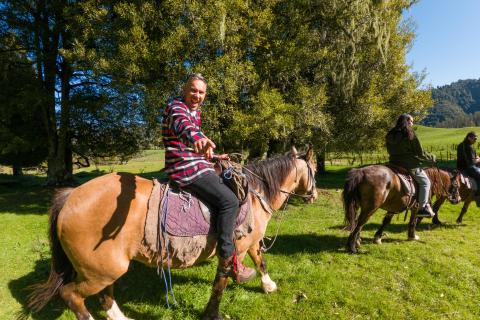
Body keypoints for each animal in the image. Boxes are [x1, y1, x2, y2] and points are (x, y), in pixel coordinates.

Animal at [28, 146, 316, 318]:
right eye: (313, 171)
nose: (313, 196)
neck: (254, 193)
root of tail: (70, 197)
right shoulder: (237, 245)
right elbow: (222, 279)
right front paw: (213, 312)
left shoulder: (251, 242)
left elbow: (261, 260)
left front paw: (268, 285)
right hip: (100, 271)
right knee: (72, 295)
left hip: (102, 268)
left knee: (104, 294)